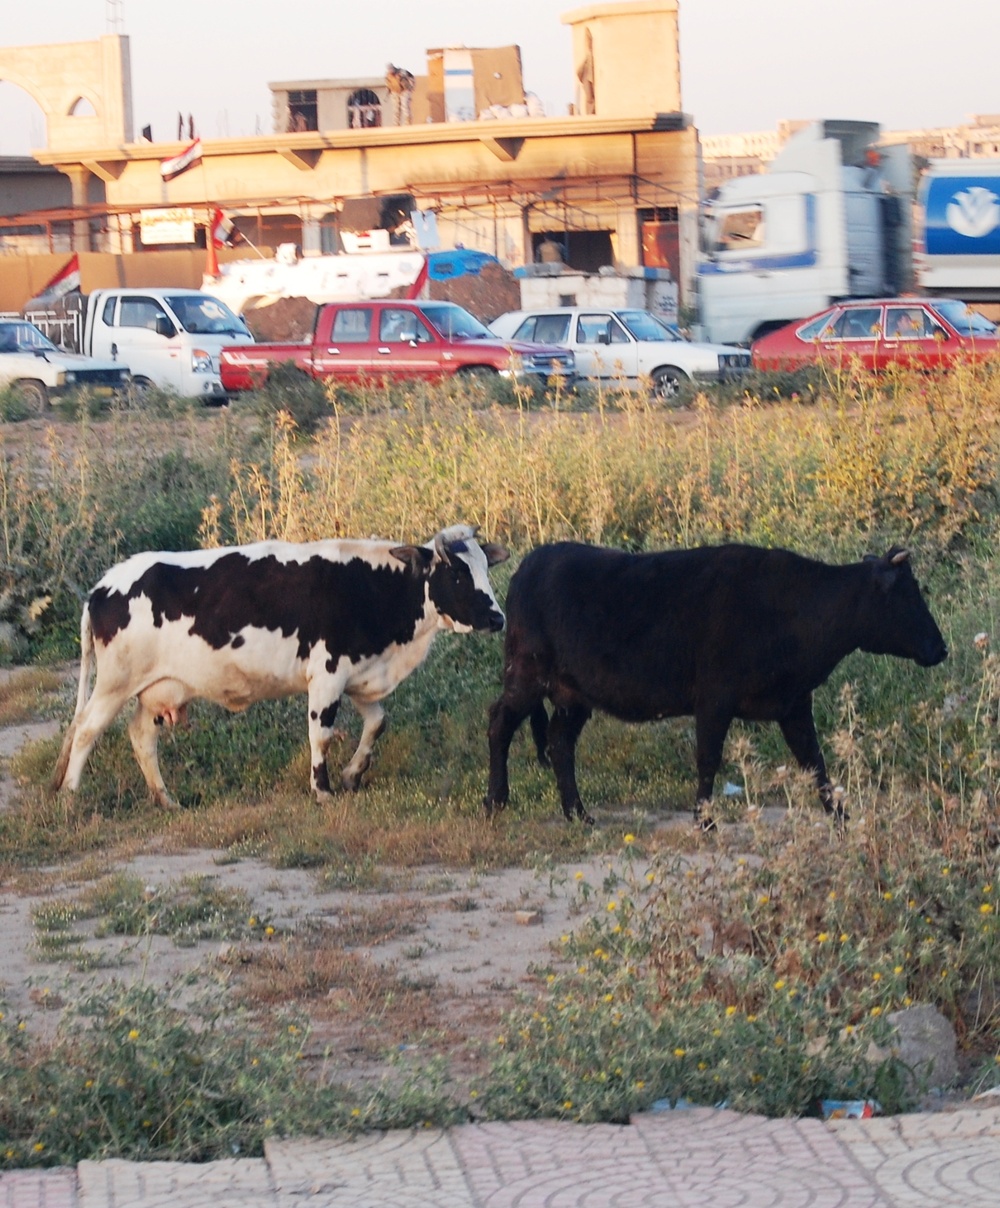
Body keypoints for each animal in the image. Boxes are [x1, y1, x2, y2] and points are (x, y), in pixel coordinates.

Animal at [51, 524, 507, 806]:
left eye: (486, 568)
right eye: (458, 575)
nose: (497, 618)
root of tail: (102, 586)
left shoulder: (360, 674)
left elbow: (377, 722)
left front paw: (352, 775)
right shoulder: (326, 675)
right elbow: (321, 736)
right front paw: (323, 790)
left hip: (158, 689)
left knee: (141, 738)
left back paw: (167, 800)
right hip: (115, 682)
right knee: (86, 729)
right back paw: (71, 796)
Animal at [485, 543, 946, 826]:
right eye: (908, 595)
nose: (940, 648)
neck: (793, 609)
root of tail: (531, 562)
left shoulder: (794, 703)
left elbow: (814, 760)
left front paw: (841, 818)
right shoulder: (714, 699)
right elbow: (708, 759)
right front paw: (705, 821)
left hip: (573, 695)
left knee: (560, 742)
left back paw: (578, 814)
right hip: (526, 675)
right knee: (499, 723)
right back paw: (496, 801)